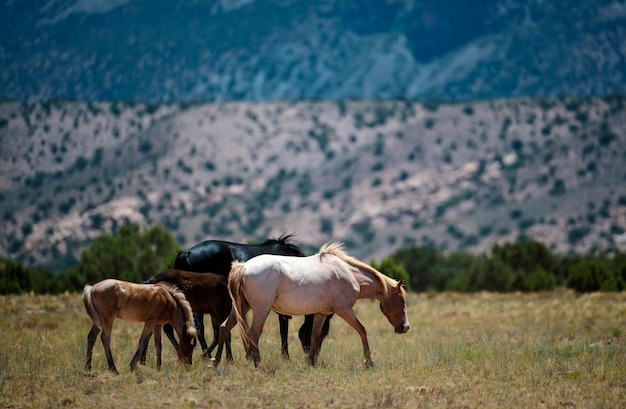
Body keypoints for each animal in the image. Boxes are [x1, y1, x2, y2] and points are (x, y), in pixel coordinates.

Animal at [168, 233, 330, 356]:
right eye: (324, 331)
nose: (314, 352)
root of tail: (185, 253)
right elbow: (282, 330)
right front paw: (285, 357)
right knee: (200, 329)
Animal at [214, 241, 410, 368]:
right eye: (402, 300)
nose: (405, 327)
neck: (349, 274)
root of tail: (243, 267)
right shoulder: (344, 310)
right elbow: (362, 330)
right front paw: (369, 362)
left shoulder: (321, 313)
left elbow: (315, 336)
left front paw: (311, 362)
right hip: (261, 310)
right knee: (253, 335)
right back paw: (257, 364)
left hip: (241, 307)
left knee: (224, 328)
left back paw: (215, 363)